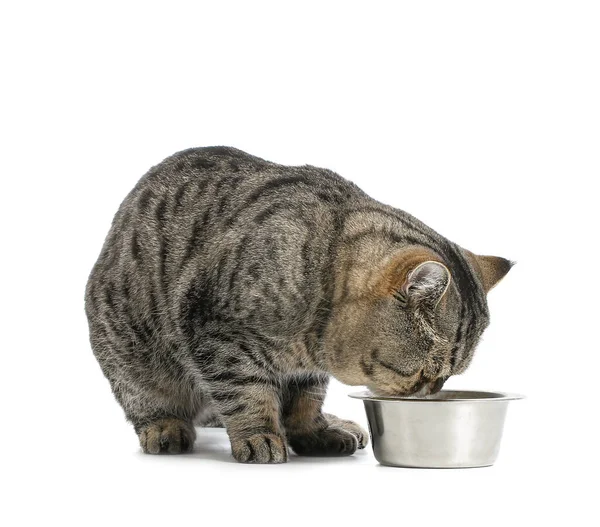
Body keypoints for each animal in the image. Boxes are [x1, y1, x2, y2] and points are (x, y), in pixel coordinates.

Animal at [85, 146, 510, 464]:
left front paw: (315, 432)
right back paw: (165, 426)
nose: (433, 393)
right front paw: (259, 434)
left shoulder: (307, 371)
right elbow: (245, 393)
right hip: (129, 348)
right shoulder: (215, 333)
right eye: (426, 374)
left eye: (446, 377)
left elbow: (306, 401)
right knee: (148, 399)